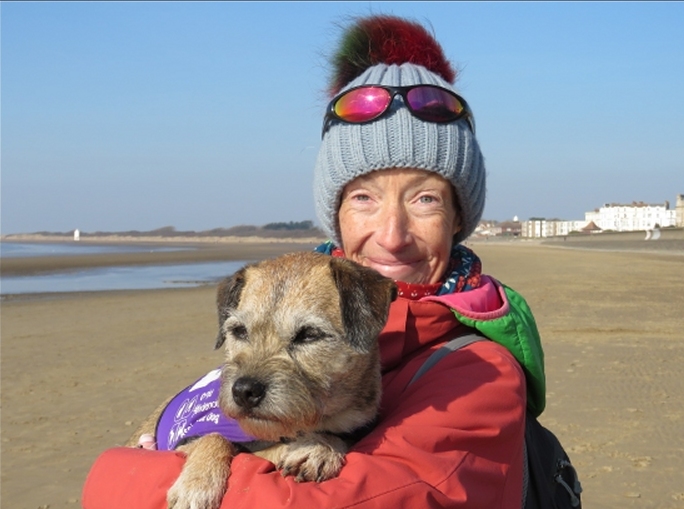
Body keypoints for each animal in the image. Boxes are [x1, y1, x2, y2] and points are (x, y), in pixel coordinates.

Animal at [126, 252, 398, 508]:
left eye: (309, 334)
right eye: (239, 331)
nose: (244, 391)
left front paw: (320, 448)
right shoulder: (183, 442)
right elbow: (215, 437)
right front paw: (196, 486)